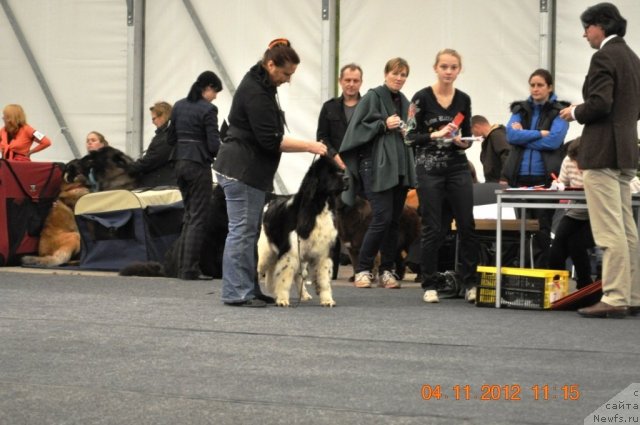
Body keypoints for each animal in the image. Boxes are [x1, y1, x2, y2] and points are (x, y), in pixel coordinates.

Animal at [258, 154, 348, 306]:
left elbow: (324, 279)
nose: (346, 177)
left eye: (339, 170)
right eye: (330, 173)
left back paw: (304, 295)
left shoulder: (323, 252)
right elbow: (284, 278)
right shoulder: (291, 252)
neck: (319, 207)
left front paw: (327, 300)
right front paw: (282, 299)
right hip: (265, 253)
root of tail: (269, 203)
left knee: (299, 276)